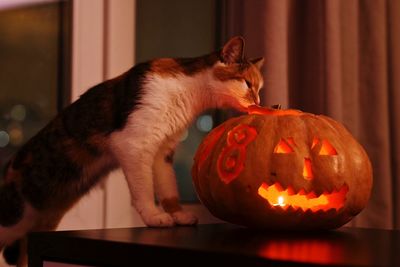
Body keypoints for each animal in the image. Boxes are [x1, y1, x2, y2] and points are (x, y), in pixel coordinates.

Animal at [0, 36, 264, 266]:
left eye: (259, 88)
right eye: (247, 83)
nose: (259, 103)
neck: (188, 93)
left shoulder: (163, 150)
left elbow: (168, 188)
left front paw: (177, 214)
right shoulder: (133, 143)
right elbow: (144, 188)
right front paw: (154, 216)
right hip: (13, 219)